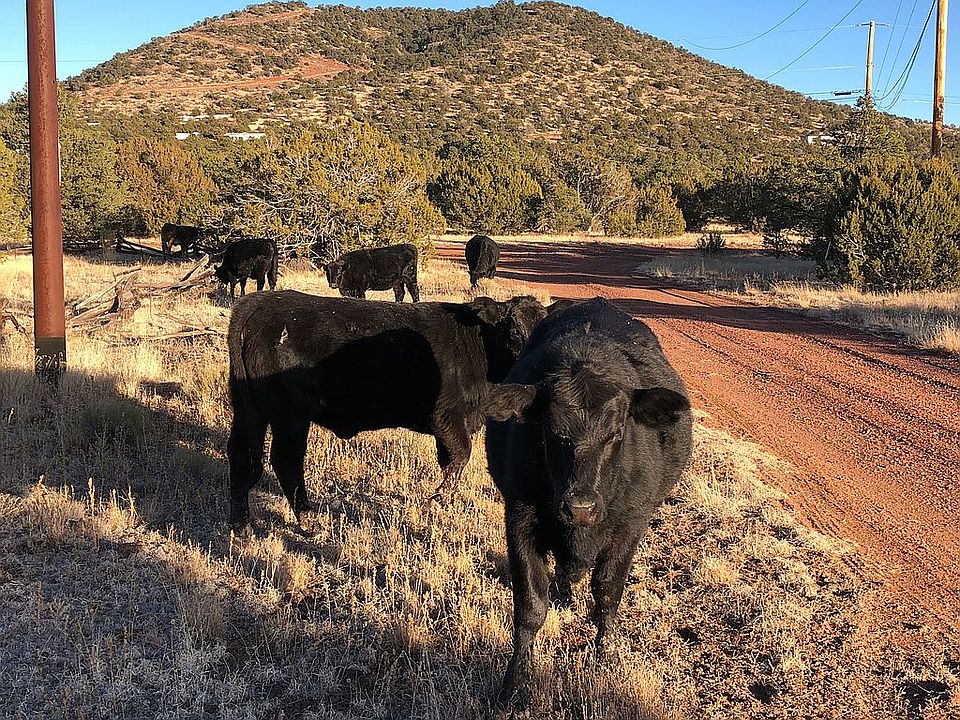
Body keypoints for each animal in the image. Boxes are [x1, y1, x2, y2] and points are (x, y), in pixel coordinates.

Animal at [226, 290, 547, 532]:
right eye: (514, 331)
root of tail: (261, 302)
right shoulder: (446, 416)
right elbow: (461, 455)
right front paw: (437, 500)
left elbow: (450, 461)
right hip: (290, 416)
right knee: (285, 461)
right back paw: (308, 521)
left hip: (248, 411)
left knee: (242, 454)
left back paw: (241, 524)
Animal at [484, 297, 693, 706]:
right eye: (551, 431)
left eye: (617, 432)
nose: (580, 507)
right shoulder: (519, 517)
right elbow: (530, 606)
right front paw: (514, 683)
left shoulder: (630, 525)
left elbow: (608, 592)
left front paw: (603, 657)